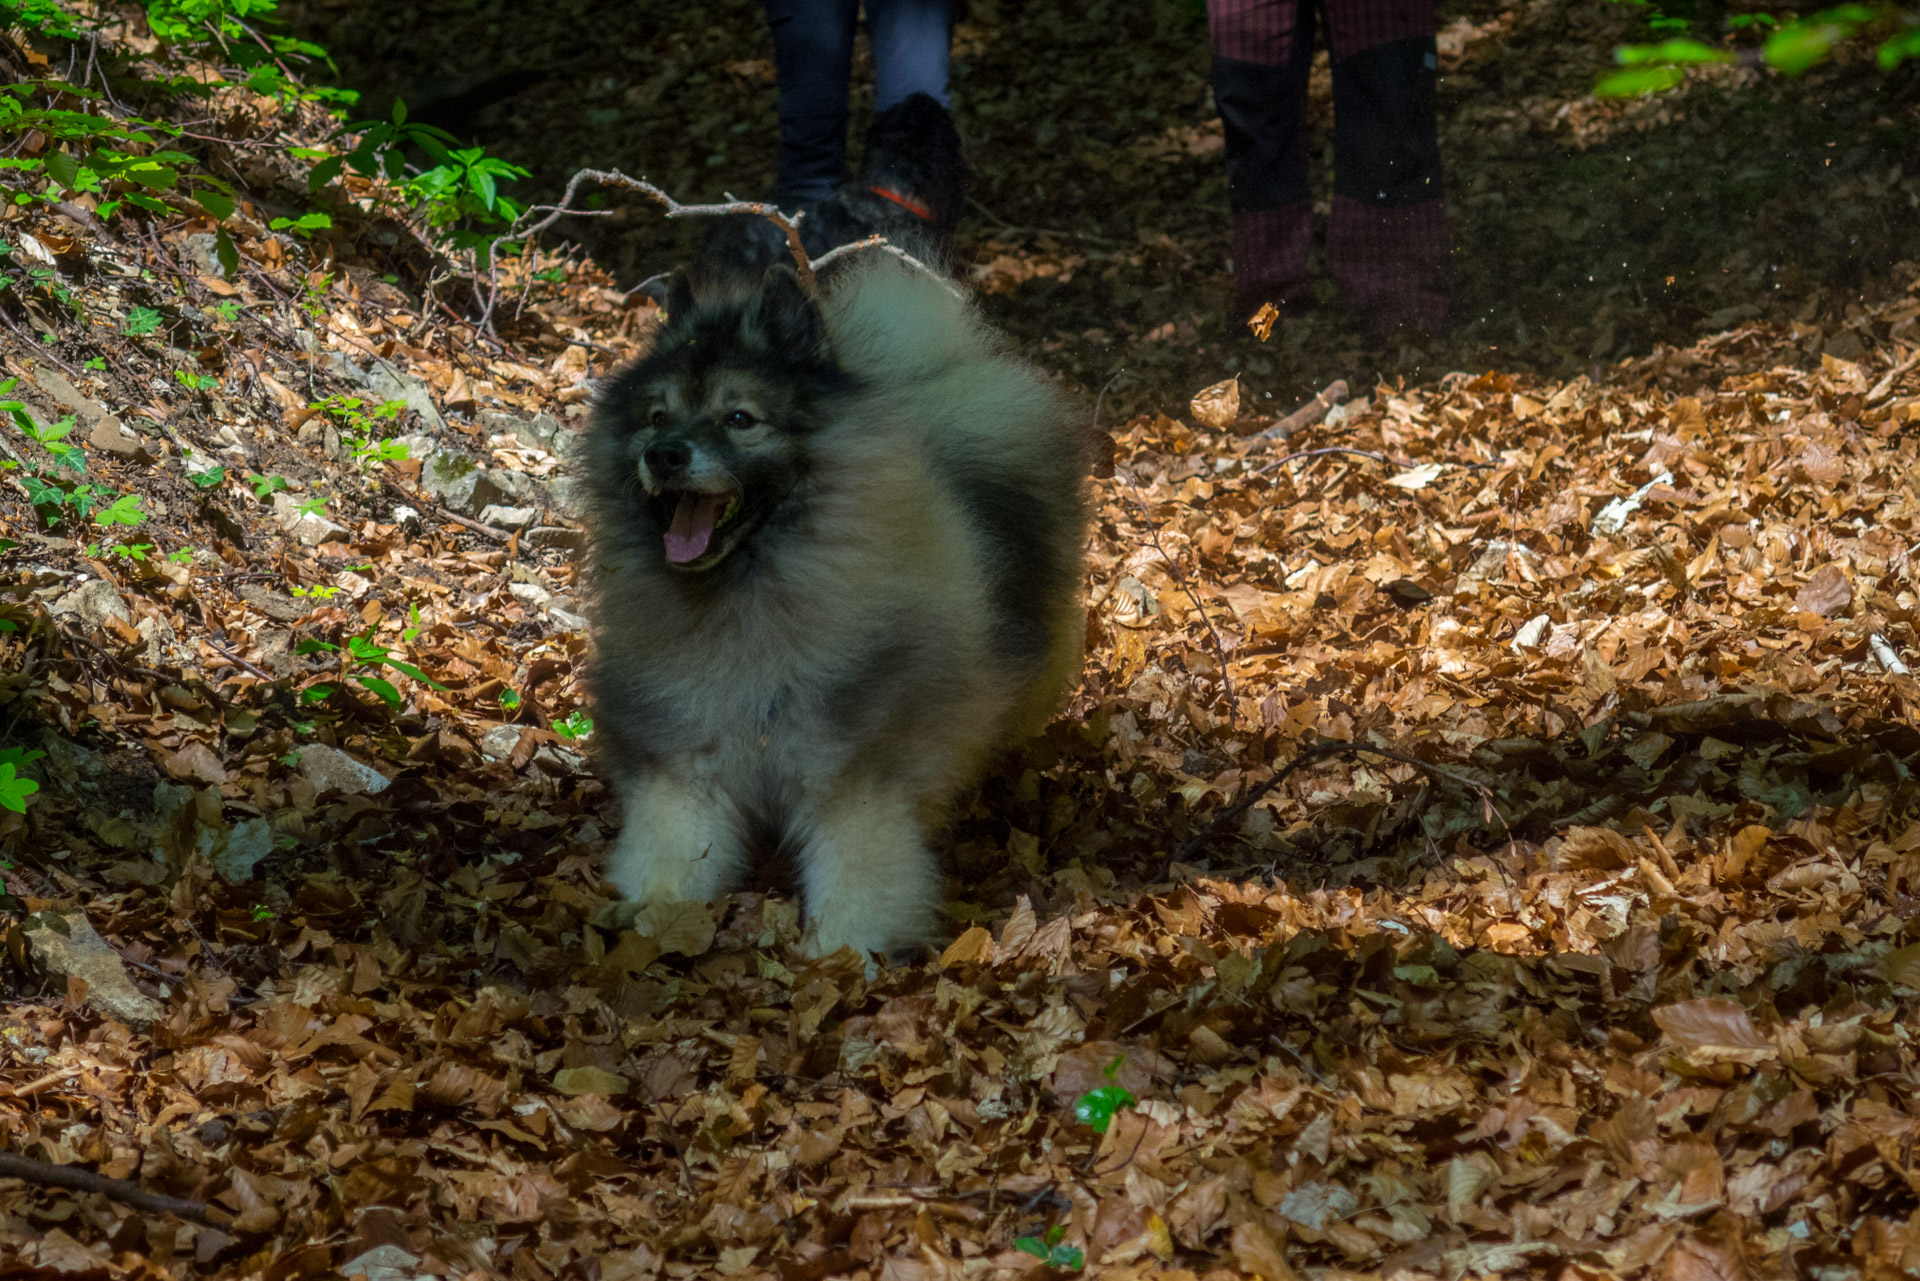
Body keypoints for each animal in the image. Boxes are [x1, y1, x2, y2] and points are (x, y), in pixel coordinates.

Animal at [583, 257, 1090, 960]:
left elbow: (858, 882)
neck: (750, 605)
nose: (665, 455)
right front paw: (649, 918)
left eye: (739, 418)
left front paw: (844, 956)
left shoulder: (854, 782)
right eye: (657, 417)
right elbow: (669, 854)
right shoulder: (686, 766)